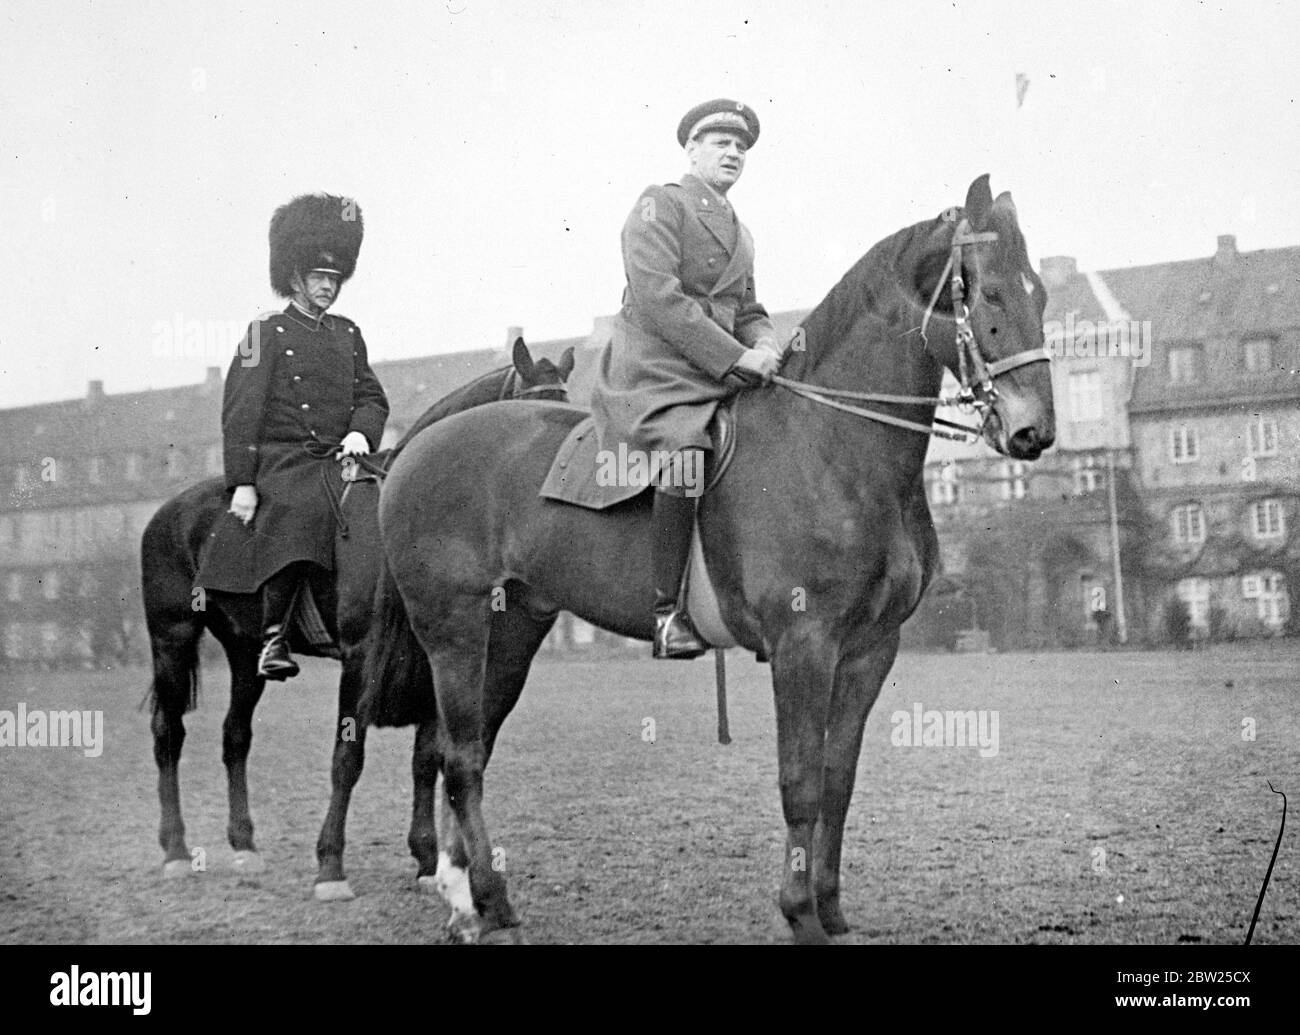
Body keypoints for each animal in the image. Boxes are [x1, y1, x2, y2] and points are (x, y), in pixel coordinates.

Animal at [139, 335, 572, 894]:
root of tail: (171, 511)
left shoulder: (433, 657)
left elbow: (426, 759)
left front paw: (426, 861)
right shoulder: (361, 658)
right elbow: (348, 758)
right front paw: (330, 865)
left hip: (242, 649)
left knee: (235, 736)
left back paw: (244, 845)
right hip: (171, 637)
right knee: (169, 734)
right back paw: (174, 849)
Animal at [364, 179, 1055, 946]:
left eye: (1041, 292)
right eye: (989, 293)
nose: (1035, 431)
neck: (835, 444)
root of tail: (413, 451)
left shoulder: (870, 650)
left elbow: (838, 779)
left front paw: (830, 908)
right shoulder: (804, 645)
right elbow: (800, 782)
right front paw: (800, 913)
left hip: (511, 630)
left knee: (470, 751)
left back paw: (476, 897)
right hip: (453, 632)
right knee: (457, 758)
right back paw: (482, 896)